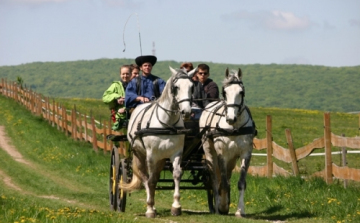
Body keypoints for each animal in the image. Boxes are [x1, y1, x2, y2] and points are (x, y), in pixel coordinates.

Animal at [121, 66, 195, 218]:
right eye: (176, 87)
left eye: (192, 87)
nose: (186, 112)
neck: (167, 124)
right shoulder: (151, 155)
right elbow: (150, 180)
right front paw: (149, 208)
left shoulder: (176, 153)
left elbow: (176, 174)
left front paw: (176, 206)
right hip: (139, 154)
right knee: (145, 178)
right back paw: (151, 206)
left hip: (161, 159)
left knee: (154, 178)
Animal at [200, 68, 256, 216]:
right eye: (224, 92)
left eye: (241, 92)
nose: (231, 118)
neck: (234, 128)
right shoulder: (222, 154)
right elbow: (223, 183)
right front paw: (222, 205)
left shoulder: (246, 153)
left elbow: (241, 183)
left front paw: (240, 211)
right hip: (210, 152)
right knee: (214, 178)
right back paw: (217, 206)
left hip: (231, 159)